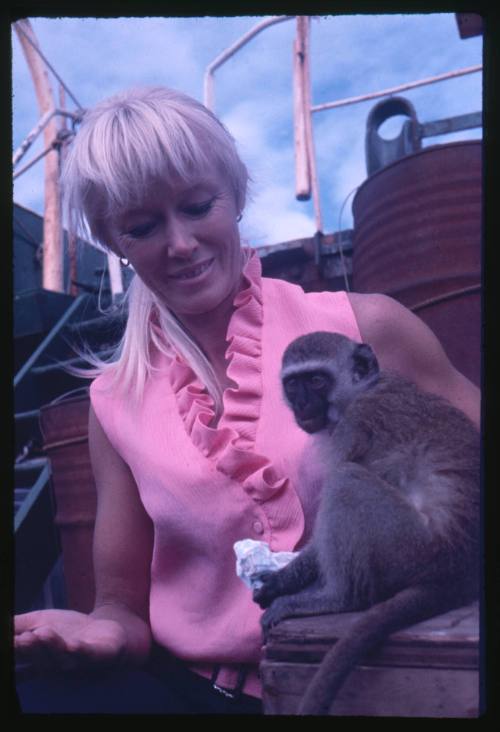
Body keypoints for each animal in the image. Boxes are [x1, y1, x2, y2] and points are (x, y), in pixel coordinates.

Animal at [254, 334, 480, 716]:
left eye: (317, 380)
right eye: (294, 384)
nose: (302, 403)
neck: (361, 393)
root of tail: (460, 567)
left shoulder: (354, 426)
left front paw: (288, 584)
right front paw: (279, 580)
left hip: (410, 547)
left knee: (347, 481)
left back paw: (341, 597)